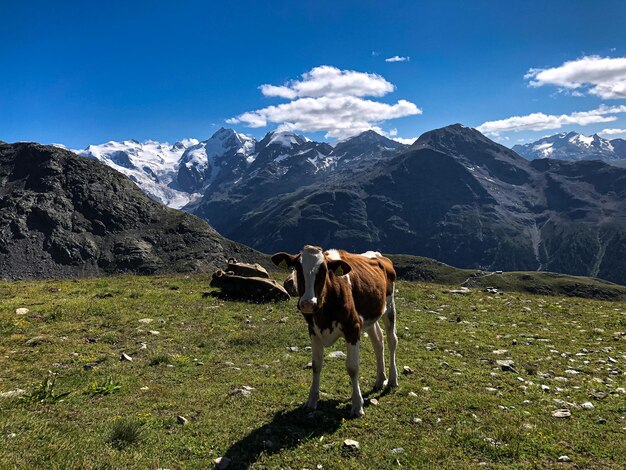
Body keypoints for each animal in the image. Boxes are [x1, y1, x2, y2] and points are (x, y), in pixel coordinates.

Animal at [270, 244, 398, 416]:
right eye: (297, 268)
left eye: (324, 271)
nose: (308, 303)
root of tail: (378, 255)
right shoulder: (313, 330)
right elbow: (316, 364)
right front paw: (311, 400)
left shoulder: (353, 328)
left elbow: (352, 367)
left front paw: (357, 406)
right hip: (371, 316)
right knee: (378, 341)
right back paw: (380, 379)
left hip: (389, 306)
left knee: (392, 341)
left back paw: (392, 380)